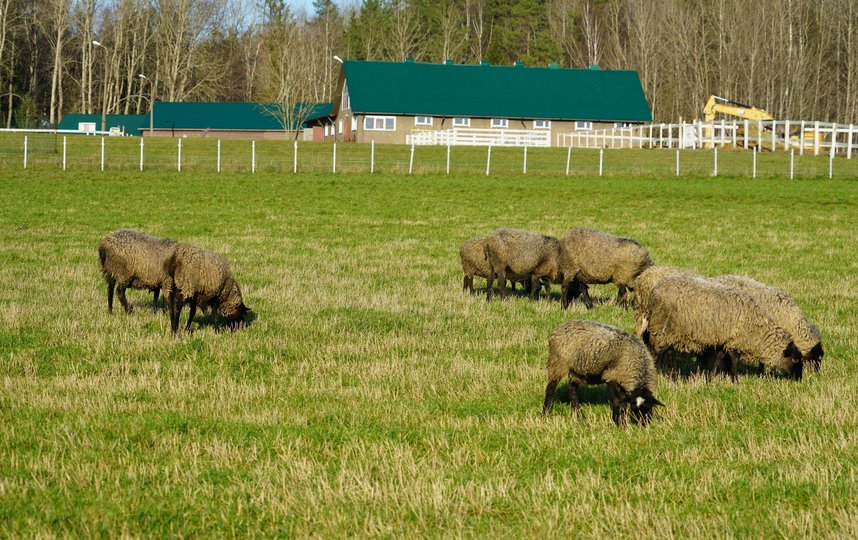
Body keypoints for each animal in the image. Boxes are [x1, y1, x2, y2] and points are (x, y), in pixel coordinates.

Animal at [644, 276, 800, 382]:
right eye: (795, 360)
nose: (799, 380)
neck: (756, 328)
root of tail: (655, 290)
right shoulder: (734, 341)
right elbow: (734, 362)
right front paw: (735, 381)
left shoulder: (724, 340)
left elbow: (718, 360)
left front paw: (711, 378)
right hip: (664, 328)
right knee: (657, 352)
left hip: (672, 333)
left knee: (666, 353)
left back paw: (672, 375)